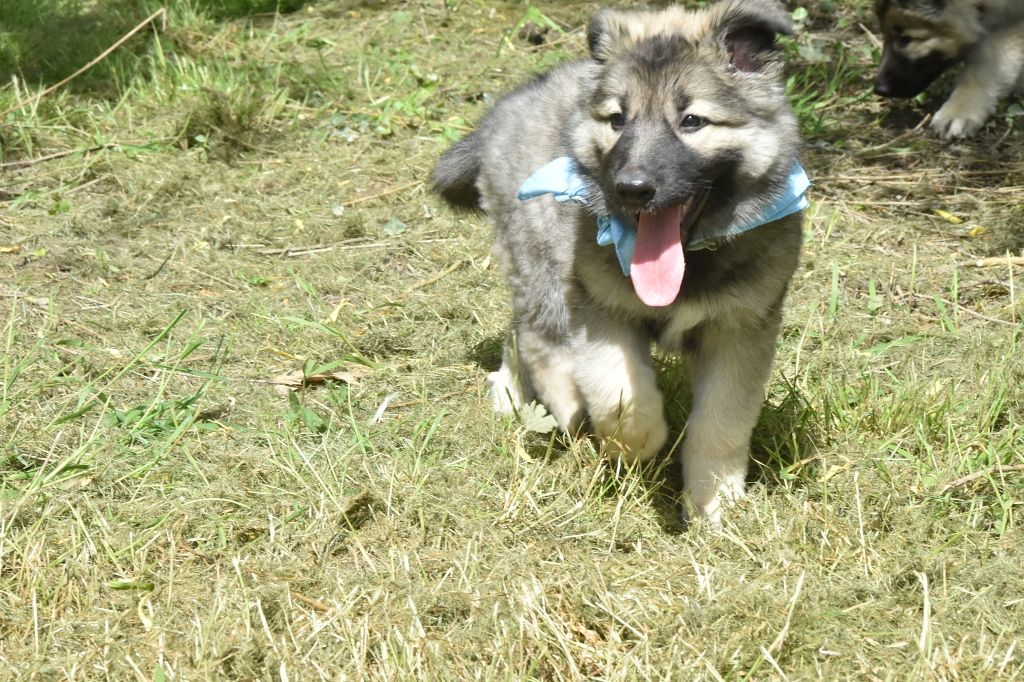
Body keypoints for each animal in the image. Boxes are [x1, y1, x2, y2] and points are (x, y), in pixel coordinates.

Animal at [432, 0, 807, 523]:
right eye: (617, 120)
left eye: (692, 121)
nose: (630, 188)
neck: (688, 260)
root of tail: (508, 105)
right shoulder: (602, 310)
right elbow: (621, 396)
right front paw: (636, 445)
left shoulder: (739, 331)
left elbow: (721, 423)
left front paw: (714, 502)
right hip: (541, 253)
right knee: (538, 334)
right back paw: (552, 401)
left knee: (518, 327)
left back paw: (512, 386)